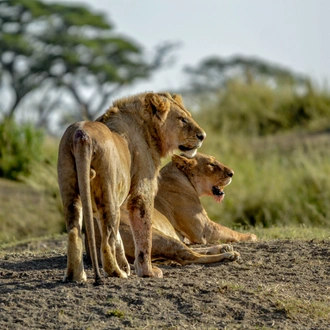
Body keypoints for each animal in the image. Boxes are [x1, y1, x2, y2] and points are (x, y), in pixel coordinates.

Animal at [58, 92, 205, 284]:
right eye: (182, 119)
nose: (202, 135)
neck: (148, 130)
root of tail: (81, 135)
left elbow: (119, 238)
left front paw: (127, 266)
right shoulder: (142, 192)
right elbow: (144, 234)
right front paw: (147, 271)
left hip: (71, 191)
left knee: (75, 232)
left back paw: (76, 276)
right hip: (109, 194)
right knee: (107, 239)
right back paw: (115, 272)